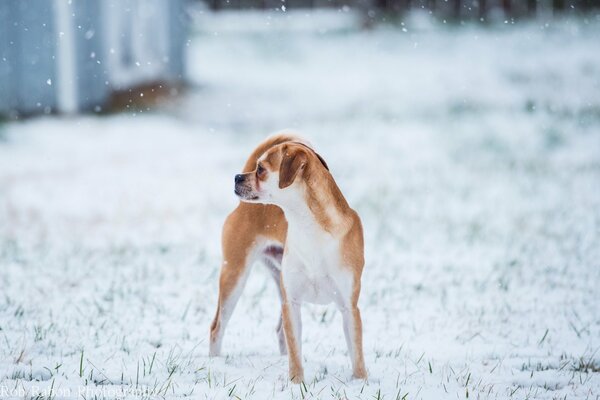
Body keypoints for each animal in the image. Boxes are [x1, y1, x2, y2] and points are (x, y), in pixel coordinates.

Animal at [209, 133, 368, 382]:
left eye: (261, 169)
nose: (236, 177)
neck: (311, 229)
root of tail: (241, 207)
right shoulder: (291, 303)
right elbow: (295, 352)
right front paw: (297, 383)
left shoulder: (349, 307)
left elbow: (357, 355)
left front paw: (361, 382)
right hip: (234, 274)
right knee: (217, 327)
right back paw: (214, 363)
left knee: (278, 331)